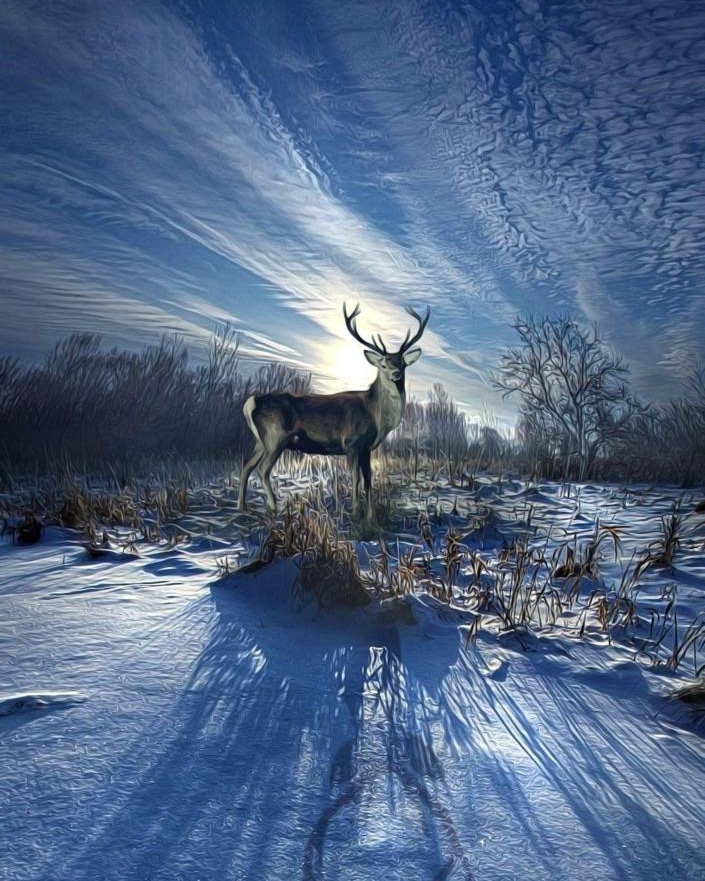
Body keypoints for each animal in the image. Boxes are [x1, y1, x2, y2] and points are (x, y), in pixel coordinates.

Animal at [237, 303, 430, 520]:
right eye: (383, 364)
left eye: (402, 363)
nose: (396, 374)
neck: (375, 414)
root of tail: (252, 401)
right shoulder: (352, 443)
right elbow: (355, 478)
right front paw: (354, 512)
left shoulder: (366, 448)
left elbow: (369, 480)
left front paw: (370, 515)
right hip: (275, 437)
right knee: (262, 469)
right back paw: (273, 506)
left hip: (260, 441)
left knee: (246, 466)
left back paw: (243, 507)